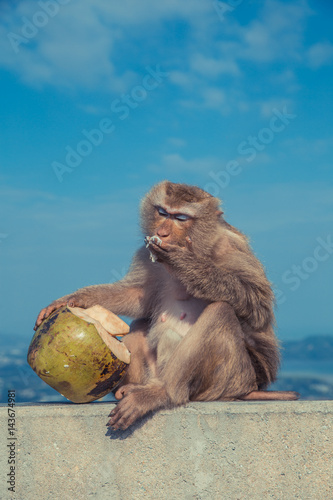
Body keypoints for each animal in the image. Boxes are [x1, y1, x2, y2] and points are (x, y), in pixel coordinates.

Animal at [34, 181, 298, 430]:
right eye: (162, 212)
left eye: (180, 218)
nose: (162, 232)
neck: (201, 244)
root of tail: (248, 388)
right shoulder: (145, 253)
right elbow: (138, 296)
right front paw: (77, 299)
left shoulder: (232, 247)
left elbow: (257, 305)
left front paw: (183, 262)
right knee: (141, 324)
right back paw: (131, 388)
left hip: (229, 380)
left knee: (221, 312)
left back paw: (163, 393)